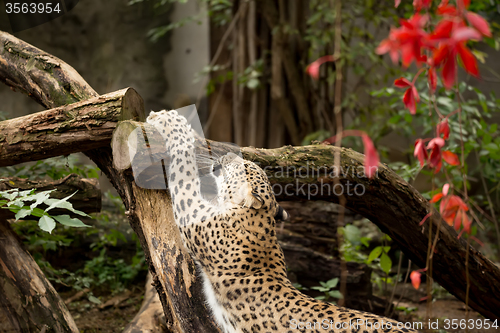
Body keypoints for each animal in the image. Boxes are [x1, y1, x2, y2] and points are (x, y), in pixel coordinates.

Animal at [146, 109, 420, 332]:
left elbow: (183, 168)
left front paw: (169, 121)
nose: (231, 155)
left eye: (246, 166)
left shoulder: (193, 213)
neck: (259, 222)